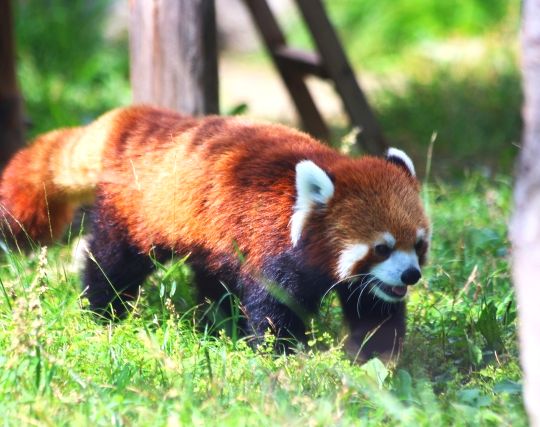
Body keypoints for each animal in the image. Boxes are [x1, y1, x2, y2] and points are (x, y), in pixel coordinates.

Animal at [0, 105, 430, 360]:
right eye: (381, 248)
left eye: (418, 244)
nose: (411, 275)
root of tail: (134, 119)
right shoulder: (269, 246)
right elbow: (273, 306)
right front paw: (284, 354)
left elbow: (373, 307)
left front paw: (378, 357)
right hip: (137, 213)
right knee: (112, 262)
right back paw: (103, 311)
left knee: (213, 280)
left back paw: (217, 324)